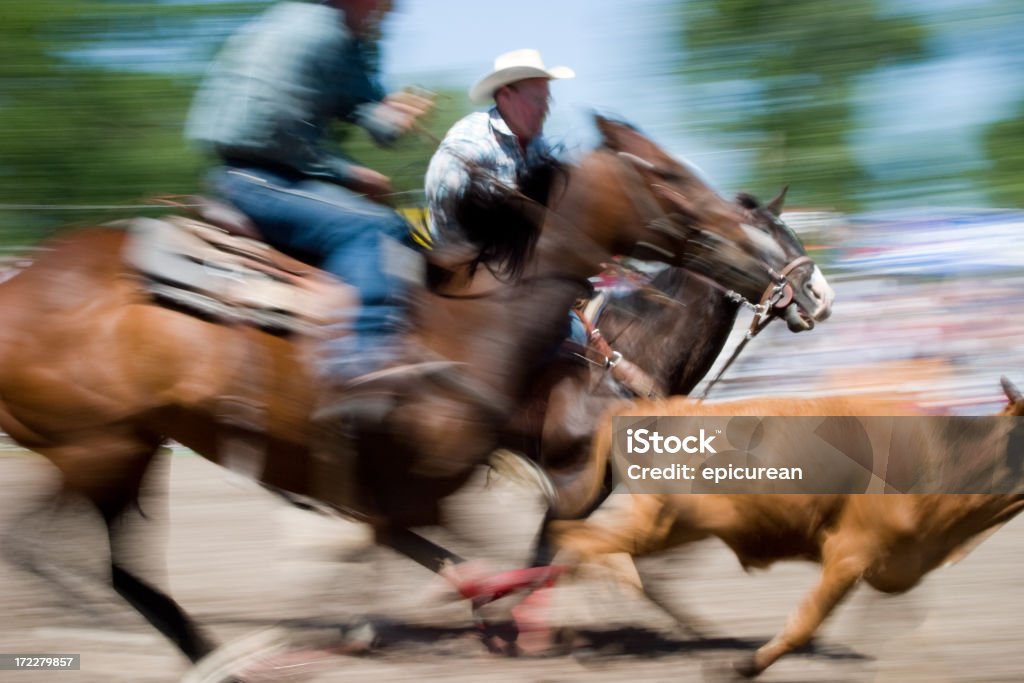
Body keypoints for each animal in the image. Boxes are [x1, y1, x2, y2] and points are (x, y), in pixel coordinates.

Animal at [0, 116, 819, 667]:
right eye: (672, 176)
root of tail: (22, 283)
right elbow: (542, 547)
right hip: (106, 445)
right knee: (69, 549)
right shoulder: (544, 472)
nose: (817, 292)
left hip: (121, 445)